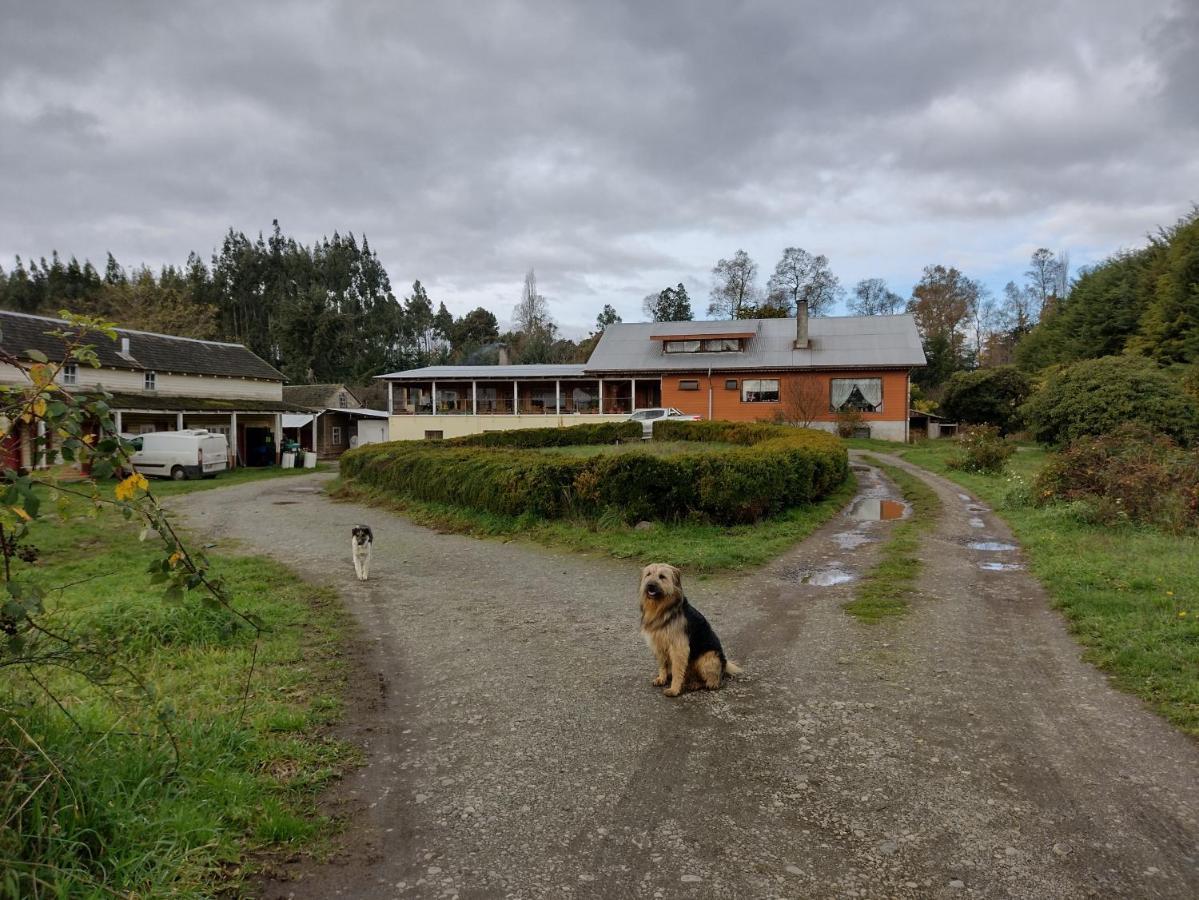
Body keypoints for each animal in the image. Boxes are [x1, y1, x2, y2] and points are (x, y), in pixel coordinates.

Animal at [637, 563, 738, 695]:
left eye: (662, 576)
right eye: (648, 574)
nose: (650, 585)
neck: (663, 609)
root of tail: (724, 666)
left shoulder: (678, 648)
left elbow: (677, 669)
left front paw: (674, 689)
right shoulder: (658, 644)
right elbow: (662, 665)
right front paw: (662, 678)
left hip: (708, 658)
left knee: (712, 683)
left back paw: (696, 684)